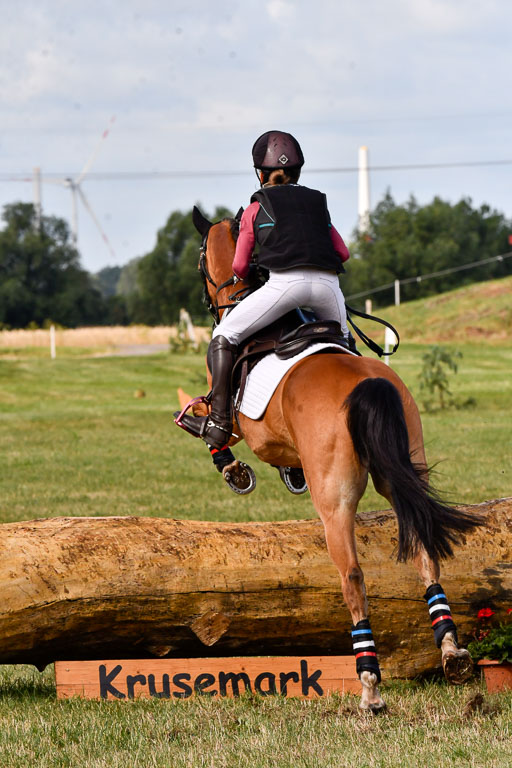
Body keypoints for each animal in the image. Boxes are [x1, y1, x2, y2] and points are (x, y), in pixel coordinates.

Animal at [179, 207, 480, 712]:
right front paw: (288, 472)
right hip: (407, 466)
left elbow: (209, 424)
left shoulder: (233, 417)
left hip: (334, 501)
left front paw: (234, 470)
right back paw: (451, 651)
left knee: (352, 577)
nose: (203, 297)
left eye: (201, 259)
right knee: (424, 548)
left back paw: (370, 685)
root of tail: (366, 383)